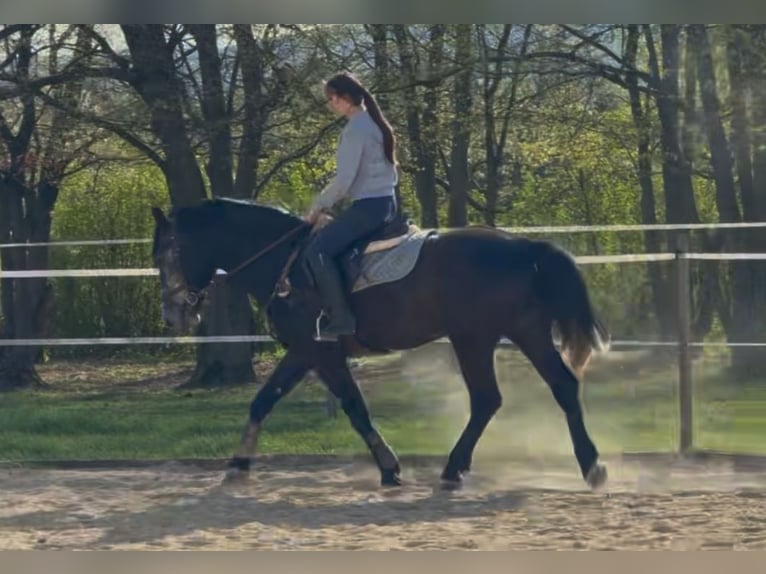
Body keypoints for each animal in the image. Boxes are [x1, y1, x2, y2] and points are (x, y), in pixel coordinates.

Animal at [150, 198, 610, 490]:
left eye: (163, 255)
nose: (173, 315)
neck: (285, 263)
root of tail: (524, 246)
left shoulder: (319, 350)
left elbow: (355, 408)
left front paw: (389, 467)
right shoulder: (303, 352)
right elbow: (262, 401)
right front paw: (238, 463)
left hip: (473, 338)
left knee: (487, 399)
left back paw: (454, 468)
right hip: (524, 331)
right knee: (560, 386)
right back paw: (591, 465)